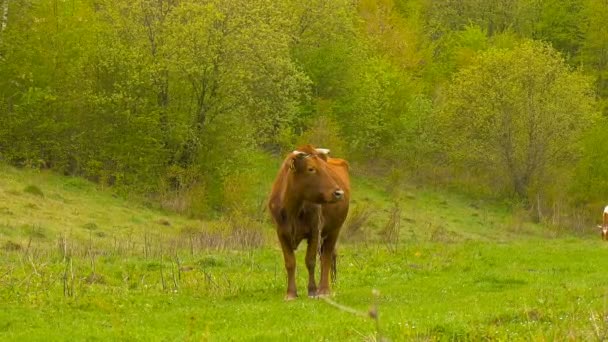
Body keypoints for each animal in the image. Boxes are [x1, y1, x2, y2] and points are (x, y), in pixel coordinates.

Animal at [268, 144, 350, 300]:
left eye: (325, 167)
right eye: (311, 169)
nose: (339, 193)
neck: (292, 209)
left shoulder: (314, 231)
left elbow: (310, 261)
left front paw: (312, 290)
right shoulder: (281, 232)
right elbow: (290, 262)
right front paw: (291, 293)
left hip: (334, 230)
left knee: (326, 258)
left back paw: (323, 289)